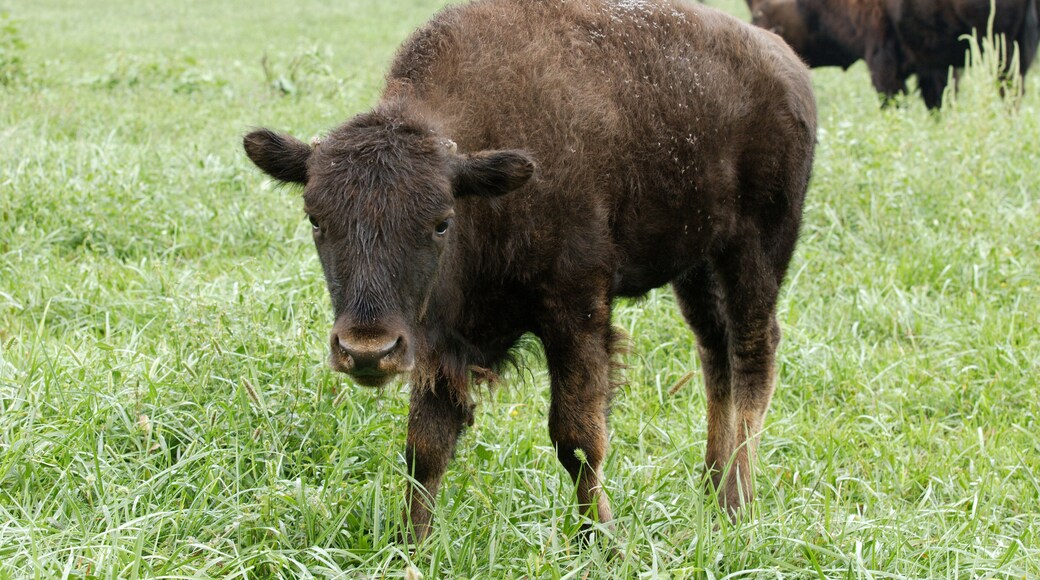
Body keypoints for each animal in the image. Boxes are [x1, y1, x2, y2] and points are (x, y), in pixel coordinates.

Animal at [244, 0, 816, 544]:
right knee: (715, 352)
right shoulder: (440, 341)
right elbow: (424, 448)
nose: (366, 350)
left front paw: (603, 543)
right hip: (695, 264)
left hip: (758, 248)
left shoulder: (577, 312)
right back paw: (711, 488)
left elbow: (577, 440)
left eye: (441, 222)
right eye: (316, 218)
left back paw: (735, 506)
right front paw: (409, 547)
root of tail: (789, 65)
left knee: (753, 352)